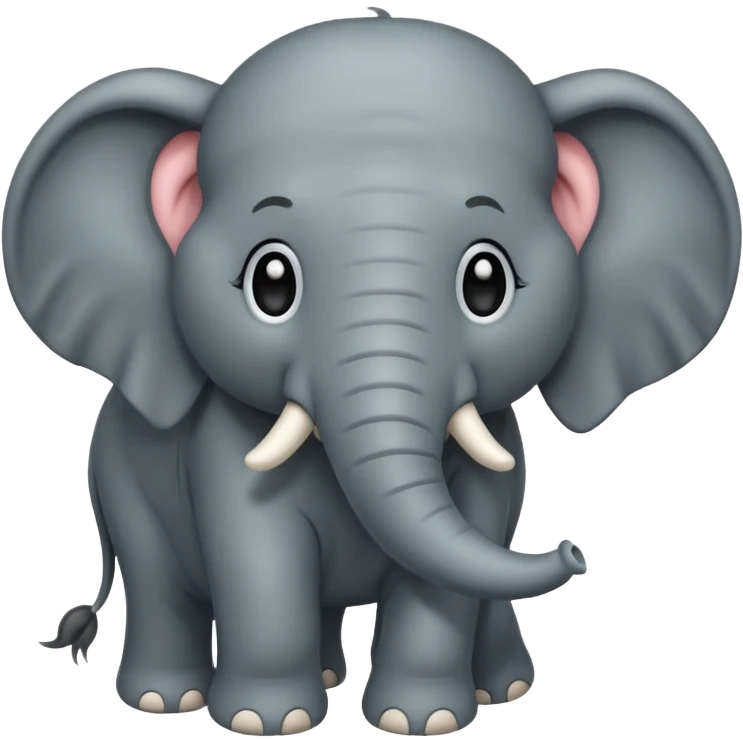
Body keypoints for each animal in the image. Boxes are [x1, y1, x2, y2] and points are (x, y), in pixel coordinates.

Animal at [5, 9, 740, 738]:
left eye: (487, 283)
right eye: (270, 283)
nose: (572, 551)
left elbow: (455, 561)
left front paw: (422, 720)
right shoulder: (224, 451)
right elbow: (259, 552)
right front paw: (267, 721)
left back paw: (488, 686)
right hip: (117, 484)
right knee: (157, 577)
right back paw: (169, 699)